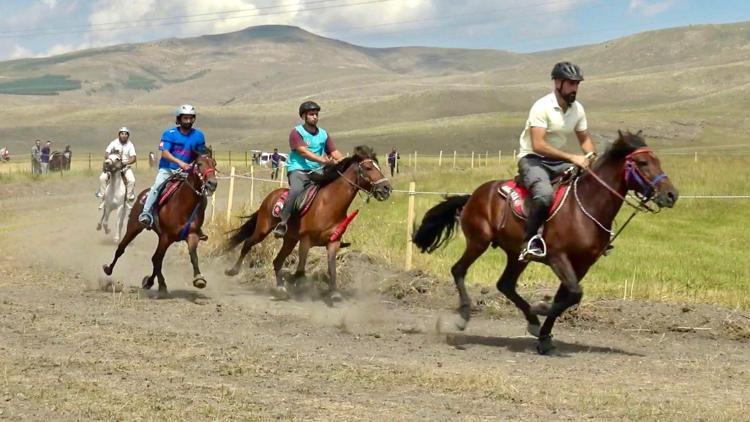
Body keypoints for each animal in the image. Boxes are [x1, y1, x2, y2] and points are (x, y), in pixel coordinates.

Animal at [101, 152, 217, 296]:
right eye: (199, 164)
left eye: (214, 163)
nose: (212, 183)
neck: (184, 204)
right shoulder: (166, 237)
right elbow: (157, 259)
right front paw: (158, 283)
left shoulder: (192, 235)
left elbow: (193, 256)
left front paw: (199, 279)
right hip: (134, 228)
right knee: (122, 249)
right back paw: (109, 269)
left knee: (155, 259)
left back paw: (152, 282)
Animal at [226, 147, 394, 302]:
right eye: (368, 167)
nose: (387, 188)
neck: (329, 204)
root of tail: (271, 196)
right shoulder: (306, 240)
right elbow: (300, 270)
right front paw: (295, 280)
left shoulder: (333, 242)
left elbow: (331, 268)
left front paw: (334, 293)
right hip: (263, 229)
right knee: (248, 243)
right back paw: (233, 271)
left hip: (290, 240)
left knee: (277, 261)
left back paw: (281, 289)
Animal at [414, 131, 680, 352]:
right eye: (643, 163)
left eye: (657, 161)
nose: (671, 195)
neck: (586, 205)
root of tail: (473, 196)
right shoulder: (557, 257)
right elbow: (572, 294)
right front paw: (540, 309)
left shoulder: (582, 264)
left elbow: (568, 296)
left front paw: (543, 335)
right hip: (479, 241)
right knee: (459, 270)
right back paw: (464, 317)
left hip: (517, 254)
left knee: (505, 285)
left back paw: (531, 322)